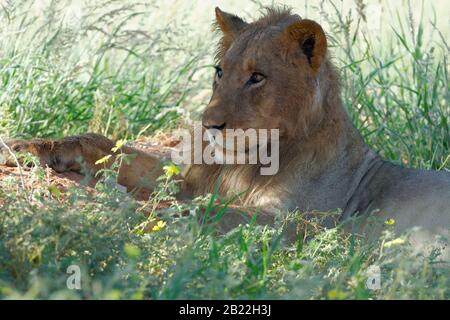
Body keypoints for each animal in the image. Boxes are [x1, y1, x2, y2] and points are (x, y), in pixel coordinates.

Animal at [0, 6, 450, 252]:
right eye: (220, 71)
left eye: (257, 78)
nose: (208, 125)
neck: (248, 161)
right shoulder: (189, 178)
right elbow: (107, 146)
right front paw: (26, 148)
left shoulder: (289, 223)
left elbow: (200, 213)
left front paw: (123, 213)